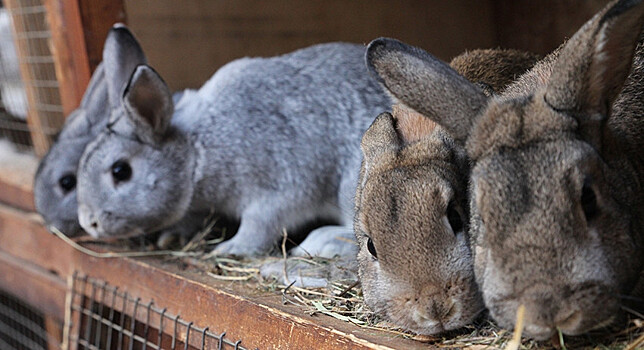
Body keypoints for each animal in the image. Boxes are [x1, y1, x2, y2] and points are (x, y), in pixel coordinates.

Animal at [75, 24, 388, 254]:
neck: (196, 151)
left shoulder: (277, 187)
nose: (88, 223)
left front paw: (230, 248)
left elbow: (260, 224)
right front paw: (172, 238)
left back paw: (319, 243)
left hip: (351, 184)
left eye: (120, 171)